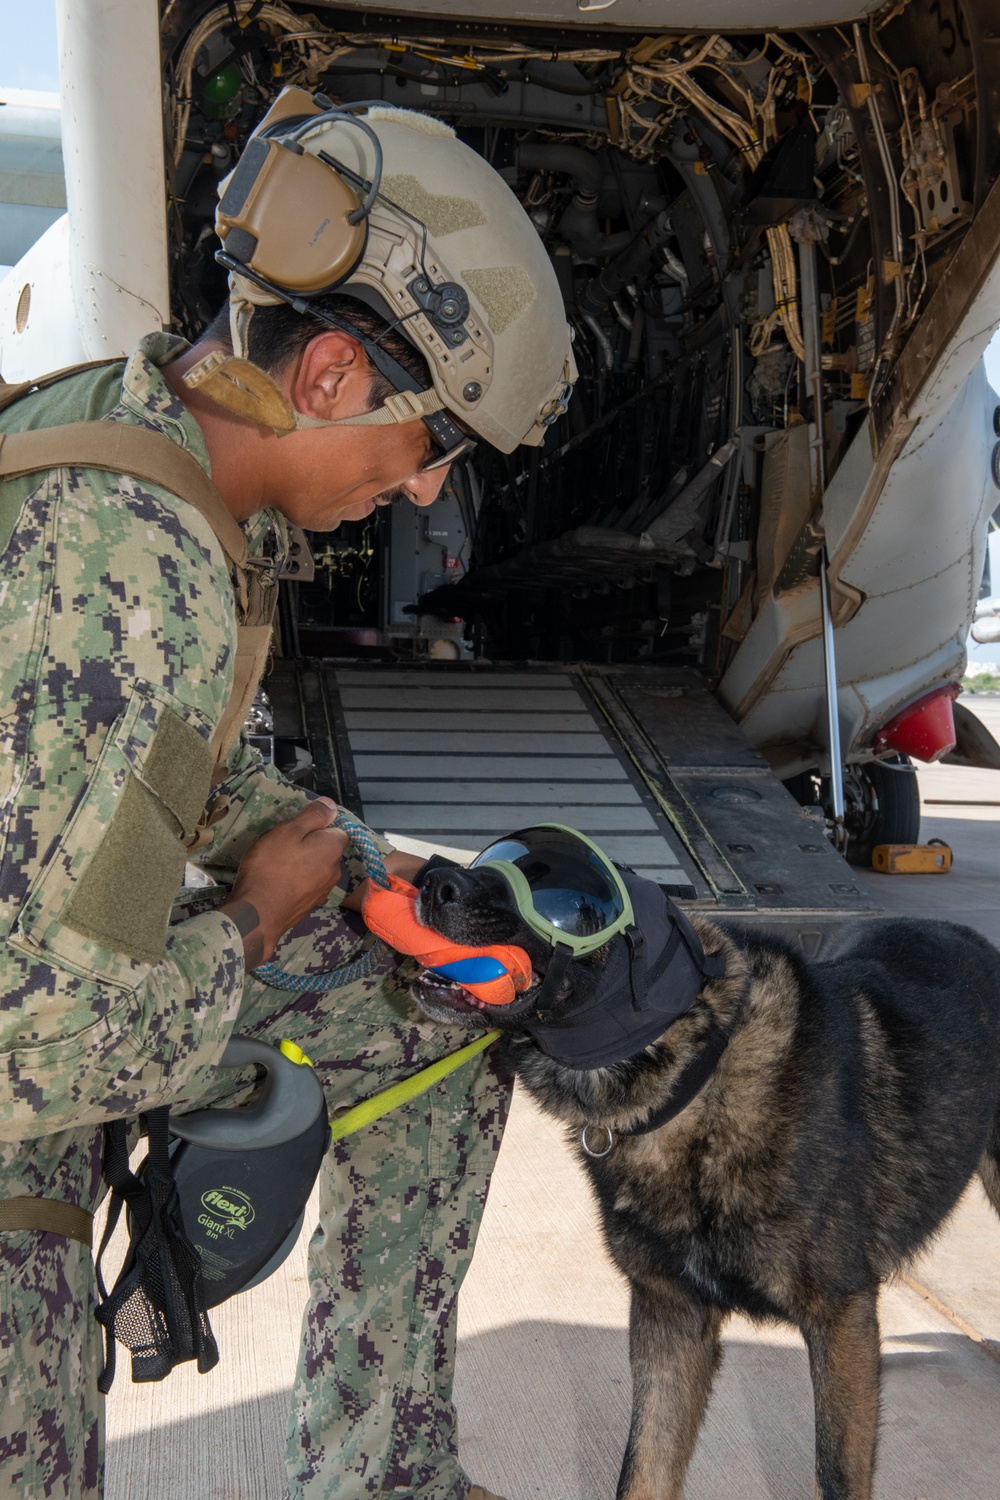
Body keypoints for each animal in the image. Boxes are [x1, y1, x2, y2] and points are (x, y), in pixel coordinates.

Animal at [410, 870, 1000, 1500]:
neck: (694, 1083)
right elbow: (643, 1469)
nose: (433, 879)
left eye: (569, 895)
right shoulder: (672, 1318)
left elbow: (837, 1473)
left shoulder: (841, 1319)